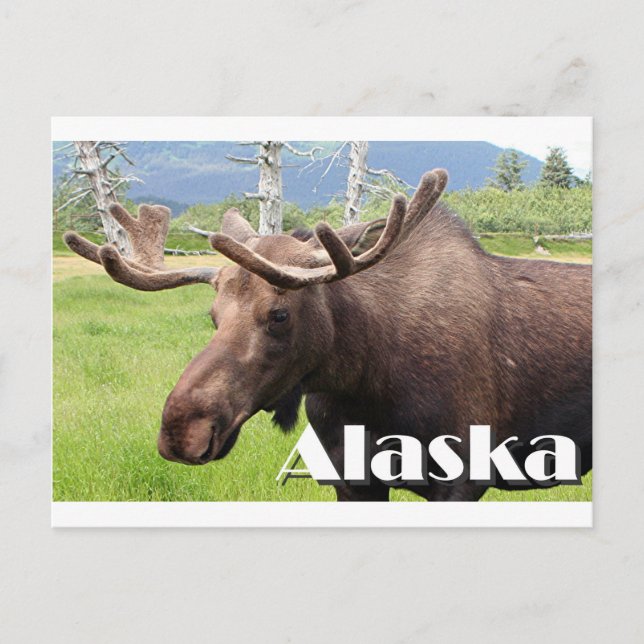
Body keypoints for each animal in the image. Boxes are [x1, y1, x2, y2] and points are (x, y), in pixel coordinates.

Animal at [64, 169, 592, 501]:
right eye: (213, 316)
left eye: (279, 314)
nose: (181, 431)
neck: (366, 380)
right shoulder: (350, 480)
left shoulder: (463, 478)